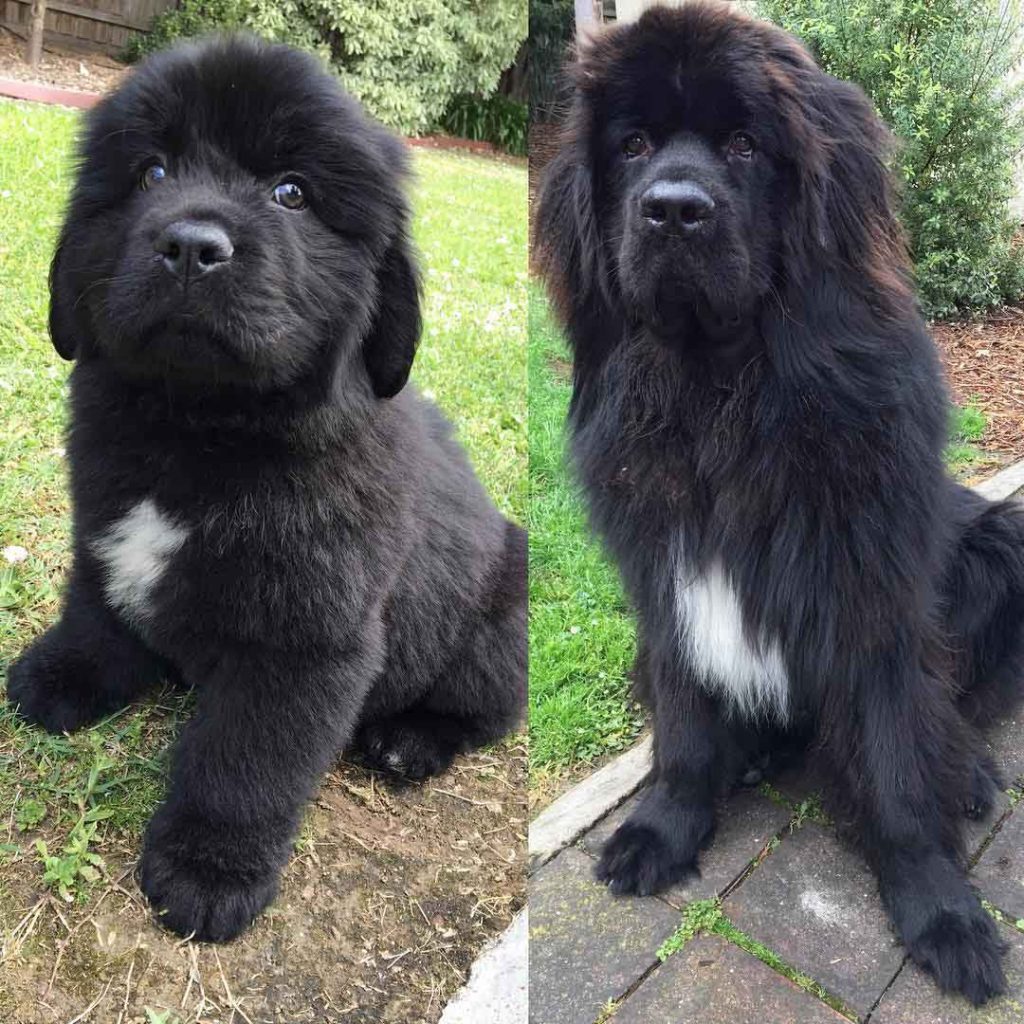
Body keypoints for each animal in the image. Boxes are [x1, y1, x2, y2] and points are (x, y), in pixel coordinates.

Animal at [6, 35, 526, 942]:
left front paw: (208, 869)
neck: (200, 433)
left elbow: (246, 760)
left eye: (292, 193)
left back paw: (411, 741)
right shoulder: (103, 534)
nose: (190, 245)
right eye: (151, 171)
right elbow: (96, 613)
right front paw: (64, 675)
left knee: (484, 709)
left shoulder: (304, 643)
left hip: (493, 621)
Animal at [535, 1, 1024, 1004]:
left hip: (1002, 544)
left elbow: (895, 762)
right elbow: (683, 724)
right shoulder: (668, 578)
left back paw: (968, 775)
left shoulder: (873, 594)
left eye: (745, 146)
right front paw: (667, 826)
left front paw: (940, 912)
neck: (722, 392)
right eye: (633, 145)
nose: (673, 209)